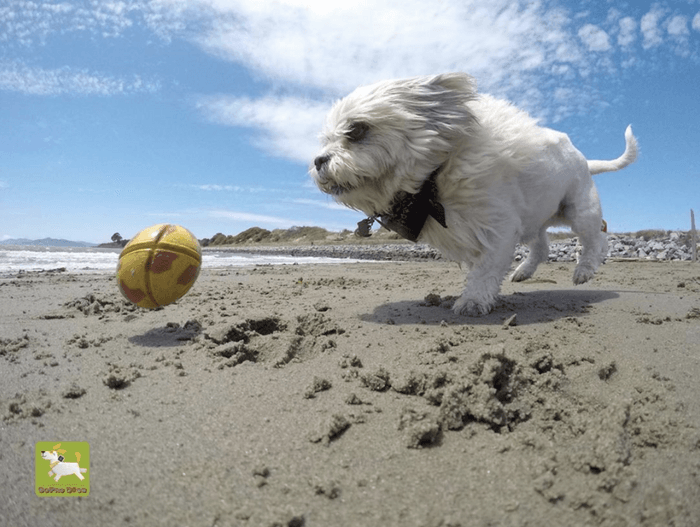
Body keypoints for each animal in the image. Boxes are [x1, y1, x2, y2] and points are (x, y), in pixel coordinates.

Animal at [308, 72, 636, 316]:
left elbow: (485, 269)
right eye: (327, 139)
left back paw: (584, 270)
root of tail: (585, 160)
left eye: (356, 130)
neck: (435, 176)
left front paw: (473, 300)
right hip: (533, 219)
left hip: (578, 210)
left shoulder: (498, 227)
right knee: (542, 247)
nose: (318, 161)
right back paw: (524, 271)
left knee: (598, 238)